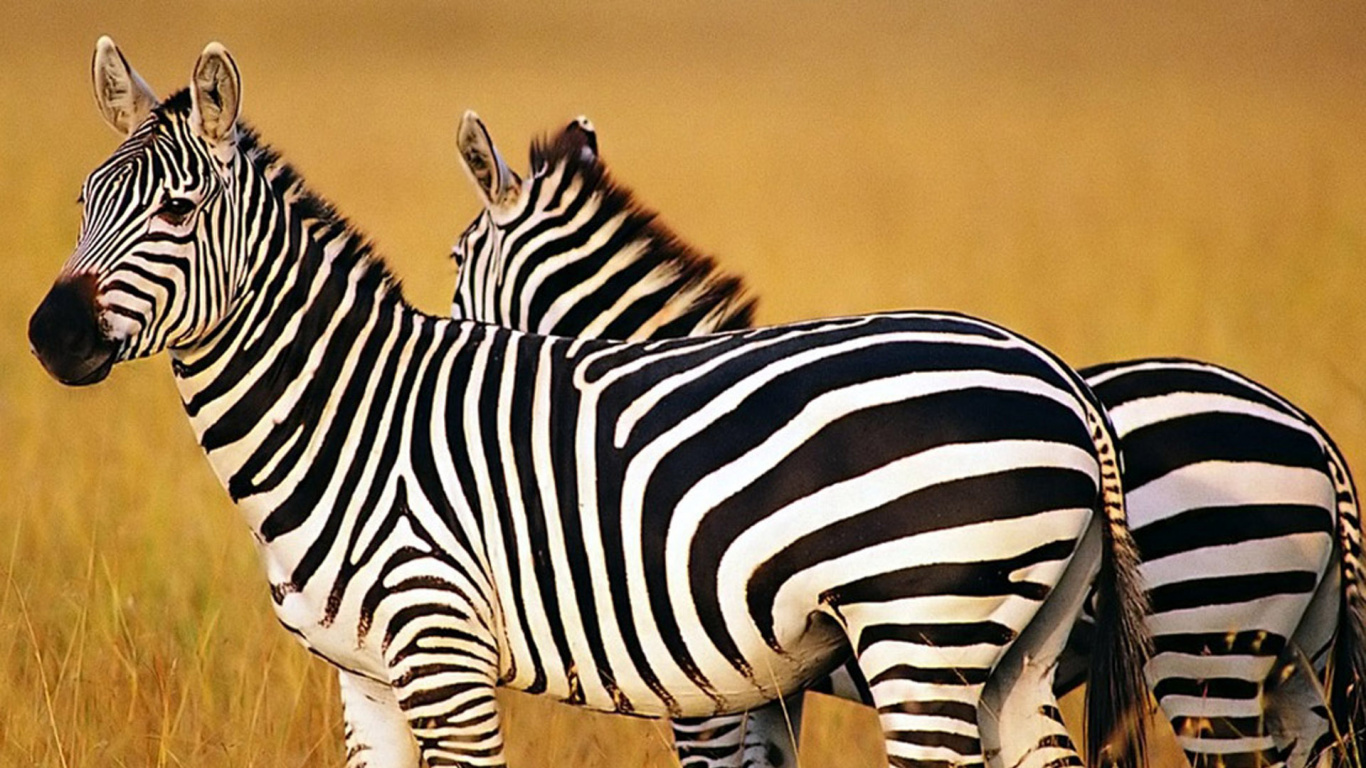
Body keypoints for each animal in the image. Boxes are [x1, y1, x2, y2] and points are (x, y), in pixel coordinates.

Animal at [26, 39, 1154, 768]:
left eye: (179, 210)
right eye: (84, 201)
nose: (50, 335)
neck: (351, 418)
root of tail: (1056, 376)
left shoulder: (454, 658)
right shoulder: (365, 681)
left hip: (922, 628)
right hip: (1018, 650)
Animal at [443, 112, 1366, 768]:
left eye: (455, 260)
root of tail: (1315, 437)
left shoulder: (705, 688)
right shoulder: (767, 688)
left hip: (1205, 645)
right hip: (1295, 662)